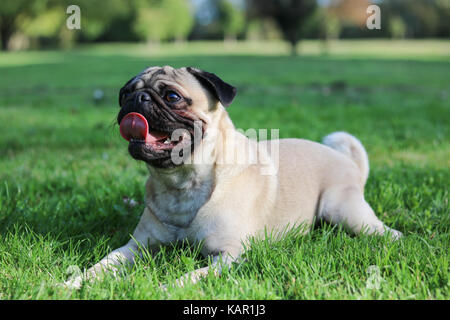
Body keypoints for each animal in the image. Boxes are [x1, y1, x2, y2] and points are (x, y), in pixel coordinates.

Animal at [62, 66, 400, 288]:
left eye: (171, 96)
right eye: (124, 94)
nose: (137, 99)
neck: (182, 183)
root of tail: (348, 162)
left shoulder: (228, 256)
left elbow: (187, 277)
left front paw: (164, 289)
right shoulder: (136, 247)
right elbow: (102, 265)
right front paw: (72, 283)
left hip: (343, 210)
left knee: (387, 233)